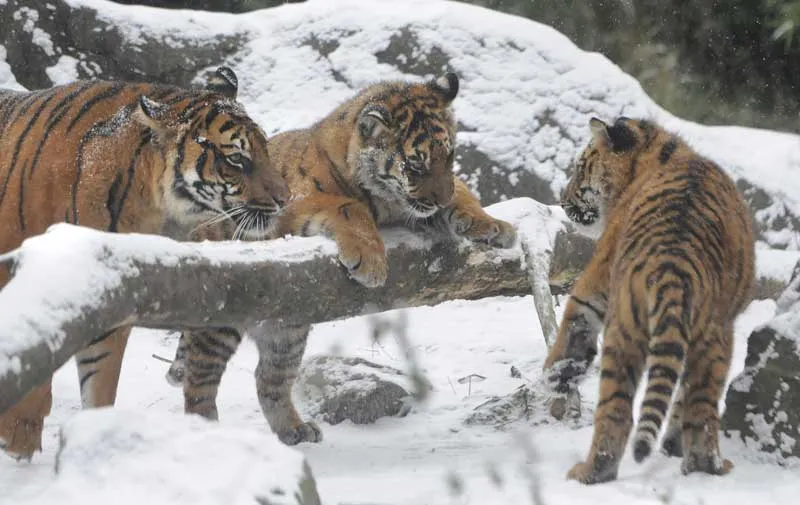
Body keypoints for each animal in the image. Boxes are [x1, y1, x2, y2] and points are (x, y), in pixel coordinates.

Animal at [165, 72, 518, 446]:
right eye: (415, 165)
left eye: (449, 157)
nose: (439, 199)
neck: (388, 200)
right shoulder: (297, 202)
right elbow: (350, 207)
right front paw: (371, 264)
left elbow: (464, 193)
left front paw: (494, 226)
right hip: (221, 322)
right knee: (200, 382)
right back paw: (207, 430)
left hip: (287, 332)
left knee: (269, 378)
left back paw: (295, 430)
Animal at [542, 117, 755, 484]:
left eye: (581, 168)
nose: (562, 199)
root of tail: (674, 264)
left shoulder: (598, 275)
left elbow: (575, 316)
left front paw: (554, 373)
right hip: (714, 339)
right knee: (701, 411)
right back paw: (707, 466)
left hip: (625, 332)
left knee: (617, 411)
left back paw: (591, 471)